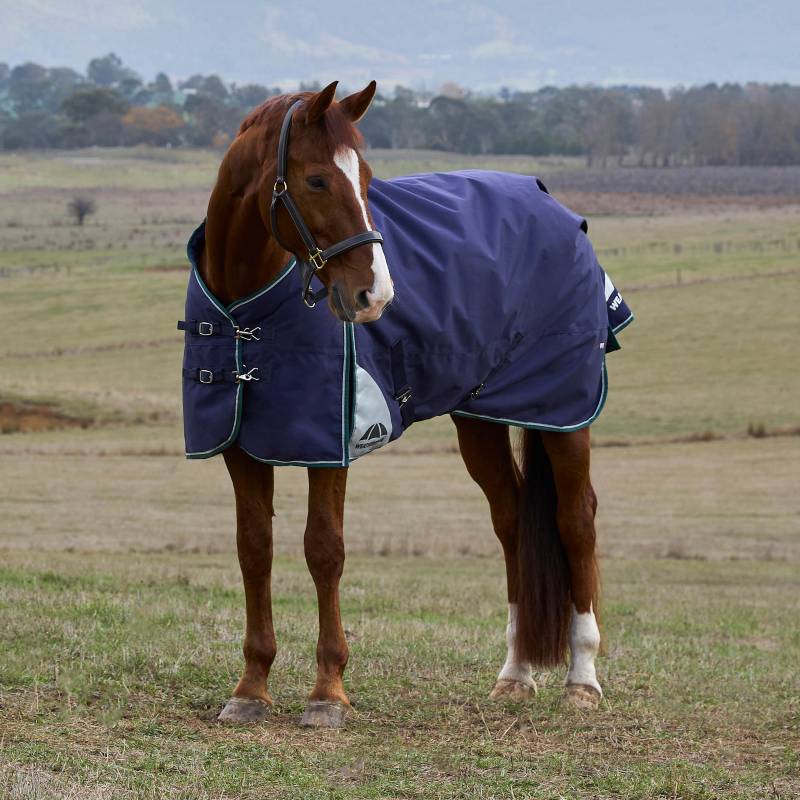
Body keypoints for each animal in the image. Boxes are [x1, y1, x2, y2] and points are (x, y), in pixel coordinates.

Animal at [182, 80, 631, 728]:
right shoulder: (240, 447)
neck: (248, 309)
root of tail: (554, 207)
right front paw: (251, 688)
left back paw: (583, 678)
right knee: (513, 520)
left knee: (577, 520)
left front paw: (328, 693)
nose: (375, 294)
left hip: (563, 413)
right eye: (316, 180)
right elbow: (254, 550)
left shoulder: (332, 445)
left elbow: (324, 549)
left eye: (367, 178)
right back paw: (516, 672)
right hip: (480, 421)